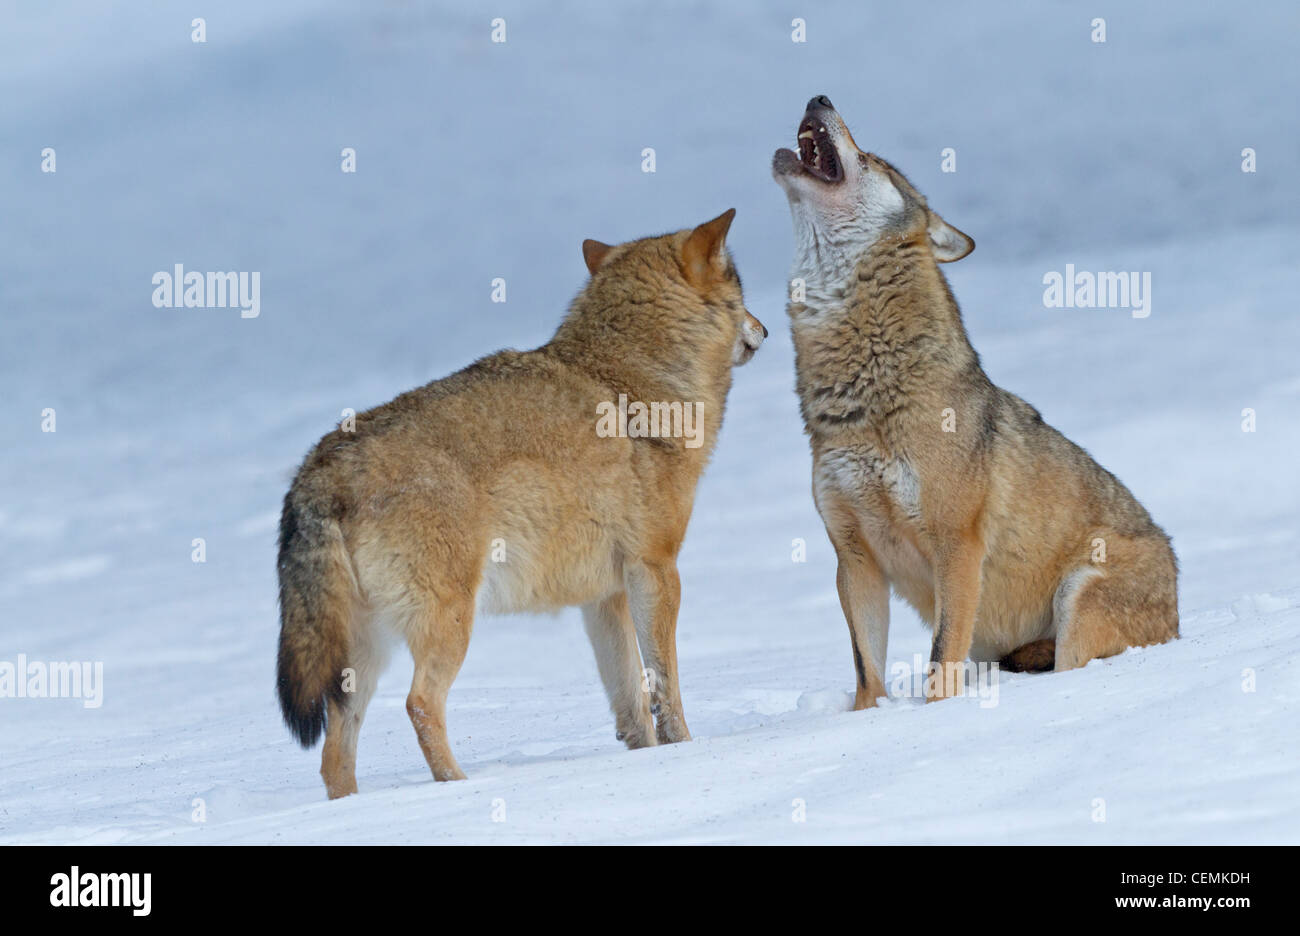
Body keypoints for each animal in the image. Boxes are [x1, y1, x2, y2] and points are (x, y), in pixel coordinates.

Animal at [274, 208, 759, 795]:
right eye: (743, 290)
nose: (764, 329)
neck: (634, 381)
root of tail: (320, 469)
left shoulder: (605, 596)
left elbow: (630, 700)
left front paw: (645, 759)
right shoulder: (657, 570)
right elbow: (665, 687)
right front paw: (685, 751)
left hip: (362, 656)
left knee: (334, 755)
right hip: (448, 625)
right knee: (418, 705)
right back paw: (460, 785)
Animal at [769, 98, 1180, 707]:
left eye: (872, 159)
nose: (819, 98)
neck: (866, 400)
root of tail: (1180, 608)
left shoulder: (956, 546)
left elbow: (942, 659)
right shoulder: (853, 555)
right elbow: (867, 671)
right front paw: (869, 716)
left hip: (1078, 598)